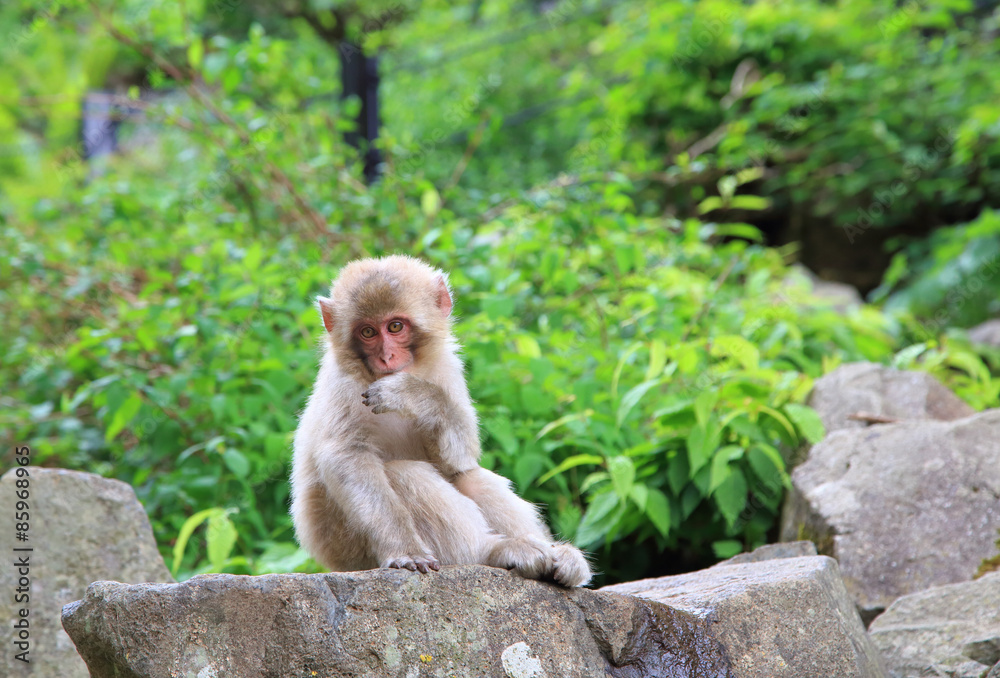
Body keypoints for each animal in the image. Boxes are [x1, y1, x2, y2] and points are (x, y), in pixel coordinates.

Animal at [290, 255, 591, 587]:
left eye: (395, 326)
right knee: (404, 473)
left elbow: (457, 460)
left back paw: (559, 558)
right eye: (367, 333)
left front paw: (413, 394)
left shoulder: (448, 367)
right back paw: (494, 552)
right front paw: (405, 549)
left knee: (471, 477)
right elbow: (346, 457)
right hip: (350, 545)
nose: (386, 357)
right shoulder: (342, 385)